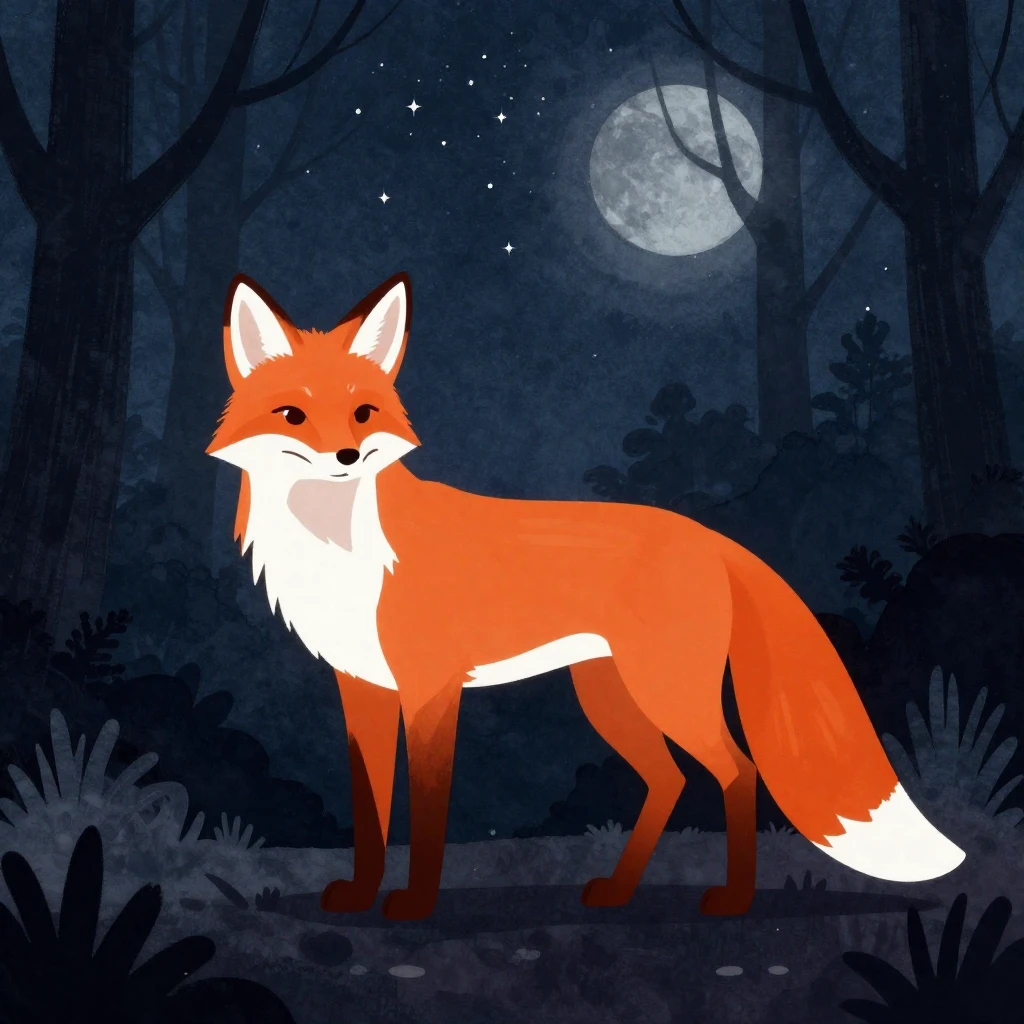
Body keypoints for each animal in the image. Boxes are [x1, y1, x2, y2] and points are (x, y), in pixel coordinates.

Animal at [207, 271, 966, 922]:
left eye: (362, 413)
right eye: (292, 414)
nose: (344, 457)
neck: (337, 551)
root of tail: (709, 537)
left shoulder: (430, 691)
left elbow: (426, 812)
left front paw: (417, 903)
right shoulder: (362, 690)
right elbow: (371, 813)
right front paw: (361, 894)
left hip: (663, 693)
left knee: (736, 771)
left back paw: (732, 899)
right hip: (609, 698)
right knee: (670, 780)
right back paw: (619, 890)